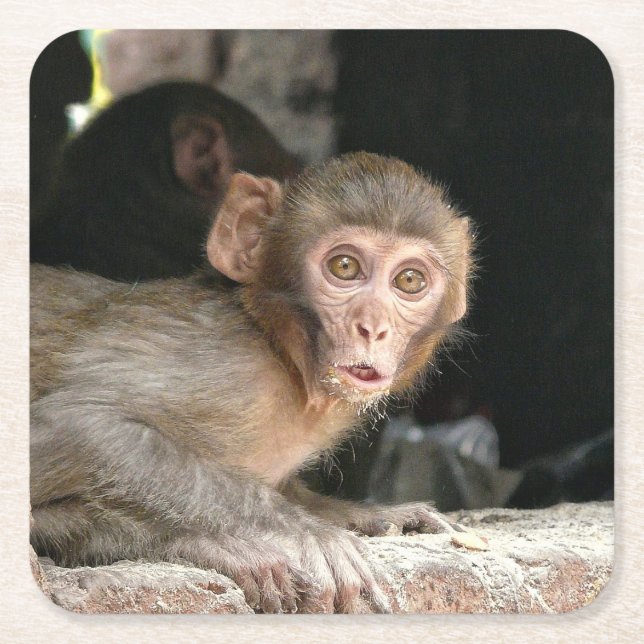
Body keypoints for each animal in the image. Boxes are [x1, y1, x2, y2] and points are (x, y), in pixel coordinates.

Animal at [30, 152, 474, 613]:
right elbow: (70, 423)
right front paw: (303, 531)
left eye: (409, 280)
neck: (283, 357)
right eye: (344, 267)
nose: (373, 327)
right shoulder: (225, 366)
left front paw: (365, 514)